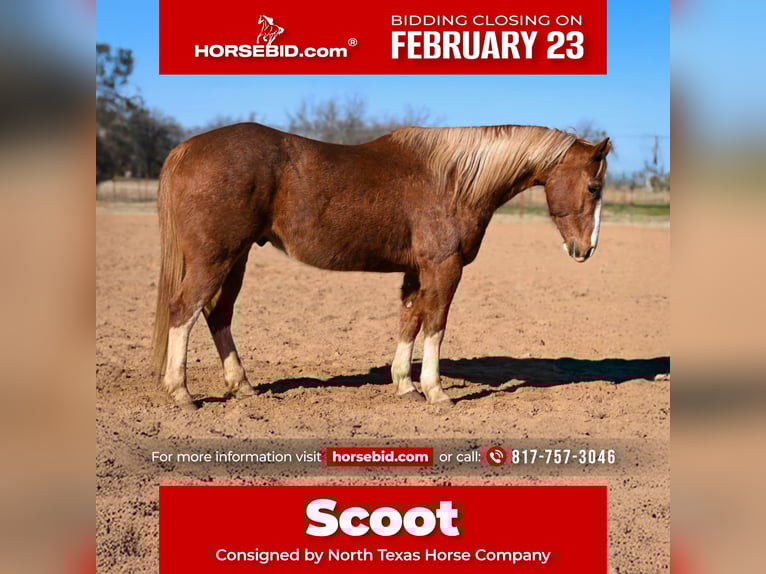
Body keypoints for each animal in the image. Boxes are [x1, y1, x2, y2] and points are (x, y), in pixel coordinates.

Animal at [151, 122, 611, 410]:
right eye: (593, 187)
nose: (586, 249)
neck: (452, 181)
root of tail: (185, 149)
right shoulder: (444, 268)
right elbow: (435, 326)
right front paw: (436, 392)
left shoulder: (415, 272)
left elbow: (409, 322)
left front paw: (406, 385)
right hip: (216, 257)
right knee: (184, 311)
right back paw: (181, 393)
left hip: (237, 257)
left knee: (218, 314)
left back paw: (242, 386)